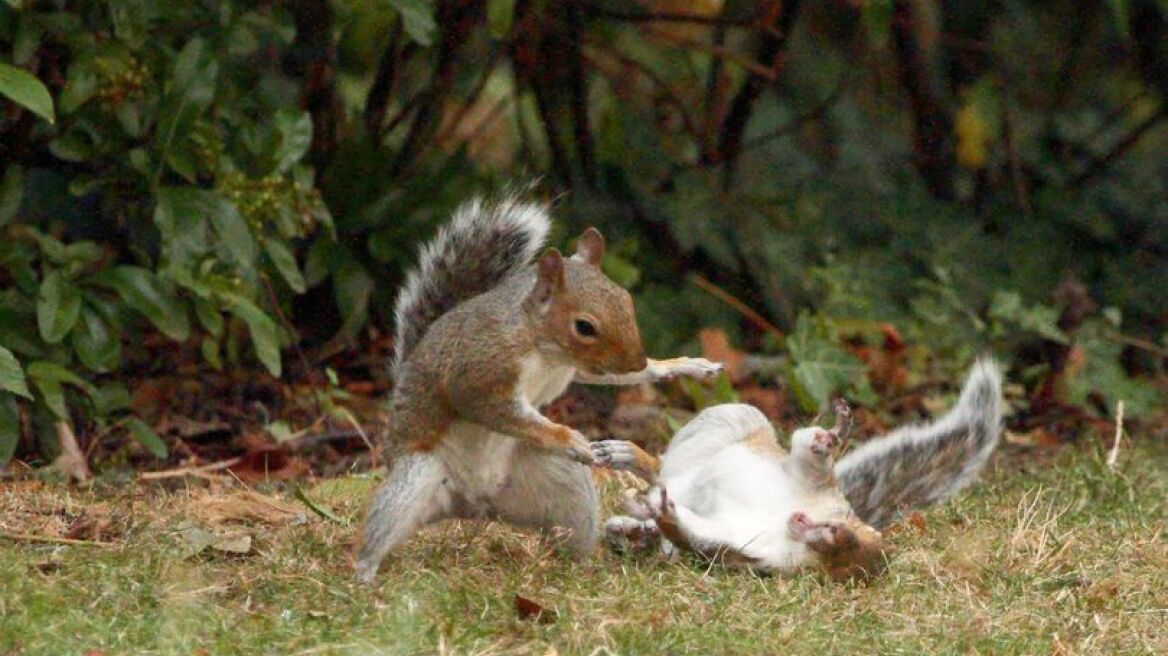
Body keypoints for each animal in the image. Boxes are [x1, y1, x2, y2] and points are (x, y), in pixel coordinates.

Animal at [350, 193, 724, 581]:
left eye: (626, 300)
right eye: (584, 326)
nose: (635, 360)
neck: (544, 347)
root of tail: (472, 505)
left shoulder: (579, 367)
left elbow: (607, 375)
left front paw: (681, 366)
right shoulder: (479, 371)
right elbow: (497, 410)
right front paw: (569, 438)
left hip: (560, 484)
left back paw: (583, 565)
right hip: (417, 475)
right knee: (381, 526)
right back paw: (364, 576)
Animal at [593, 357, 1004, 576]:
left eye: (847, 539)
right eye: (838, 529)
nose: (811, 526)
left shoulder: (745, 548)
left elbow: (694, 537)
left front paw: (662, 521)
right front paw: (833, 433)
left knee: (666, 499)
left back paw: (641, 524)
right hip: (728, 422)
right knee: (663, 467)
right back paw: (627, 462)